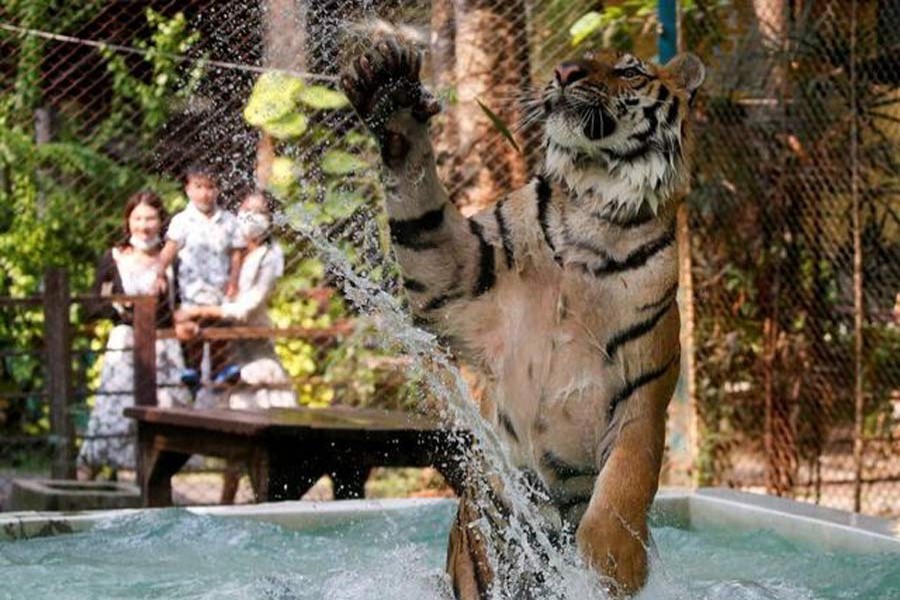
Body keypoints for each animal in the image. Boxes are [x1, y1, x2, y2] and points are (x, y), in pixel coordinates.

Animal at [342, 39, 708, 596]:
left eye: (629, 70)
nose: (564, 70)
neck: (593, 208)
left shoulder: (643, 392)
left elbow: (628, 479)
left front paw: (614, 563)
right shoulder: (458, 276)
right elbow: (422, 214)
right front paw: (391, 95)